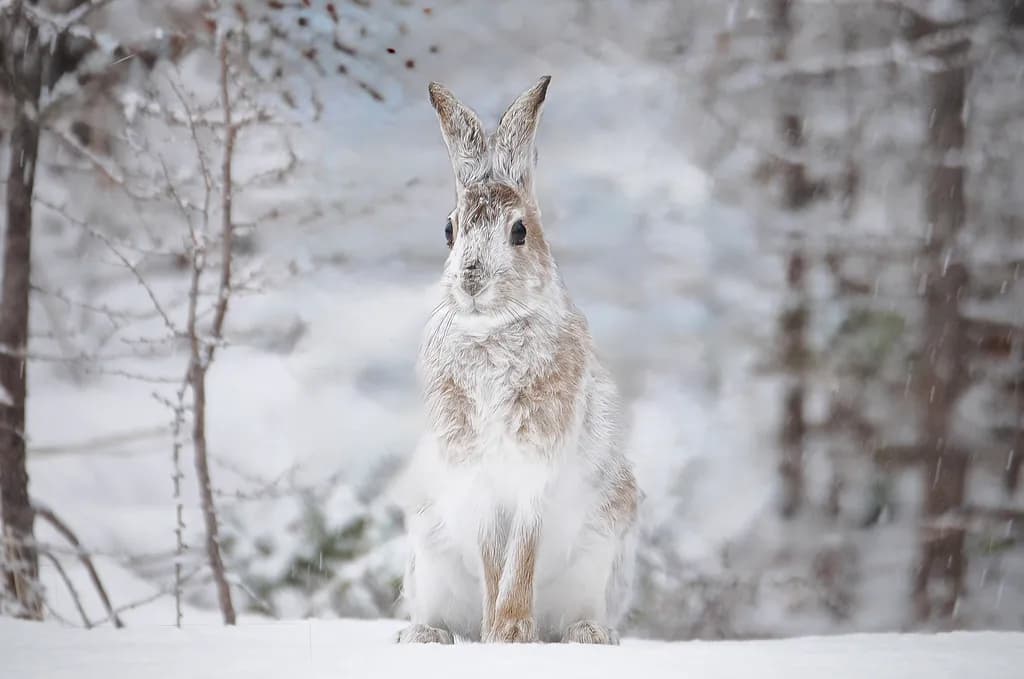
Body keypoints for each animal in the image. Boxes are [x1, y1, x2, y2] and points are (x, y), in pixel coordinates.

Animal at [394, 76, 639, 645]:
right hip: (428, 555)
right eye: (450, 229)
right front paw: (496, 634)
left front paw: (510, 633)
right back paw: (425, 635)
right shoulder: (477, 474)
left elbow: (521, 554)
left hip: (600, 553)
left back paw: (588, 634)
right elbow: (493, 555)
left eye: (519, 231)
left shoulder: (536, 469)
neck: (492, 332)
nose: (471, 282)